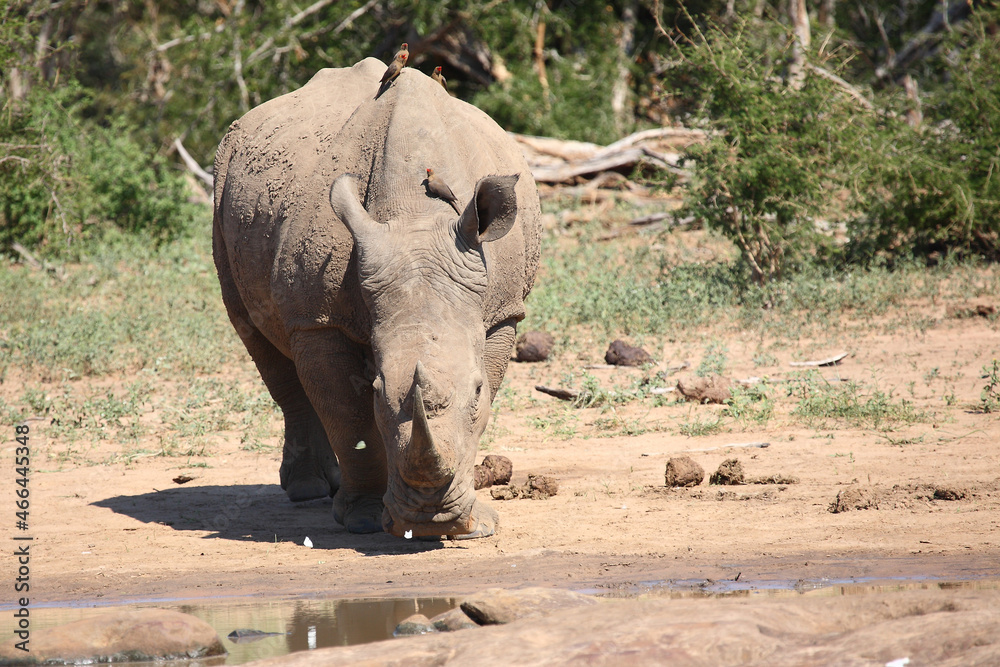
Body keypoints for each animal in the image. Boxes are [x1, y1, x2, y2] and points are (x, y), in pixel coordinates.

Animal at [212, 58, 541, 539]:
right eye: (378, 390)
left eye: (477, 388)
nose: (431, 520)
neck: (418, 217)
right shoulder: (318, 319)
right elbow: (348, 415)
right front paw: (366, 520)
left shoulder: (500, 313)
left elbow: (477, 411)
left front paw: (473, 525)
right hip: (222, 186)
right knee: (254, 335)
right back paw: (309, 490)